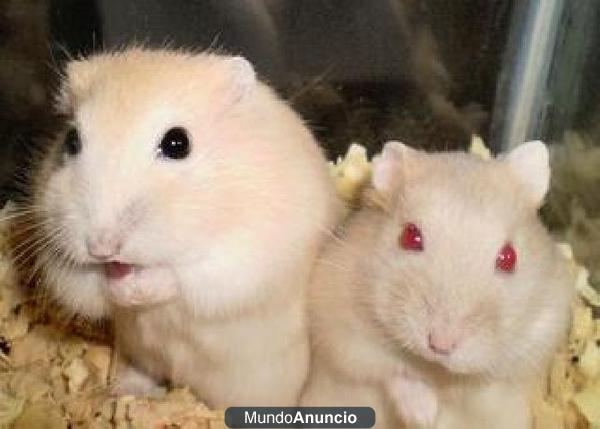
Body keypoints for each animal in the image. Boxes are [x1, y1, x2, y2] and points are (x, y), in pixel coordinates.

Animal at [18, 48, 340, 406]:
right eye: (71, 140)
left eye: (177, 143)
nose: (101, 248)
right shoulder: (58, 259)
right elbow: (87, 285)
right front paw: (117, 279)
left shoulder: (246, 258)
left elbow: (181, 275)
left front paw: (135, 286)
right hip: (138, 353)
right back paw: (126, 390)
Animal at [302, 140, 576, 428]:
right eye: (410, 236)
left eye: (509, 258)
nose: (440, 345)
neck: (434, 368)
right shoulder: (339, 329)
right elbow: (389, 373)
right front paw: (423, 415)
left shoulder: (539, 336)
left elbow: (481, 385)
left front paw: (435, 410)